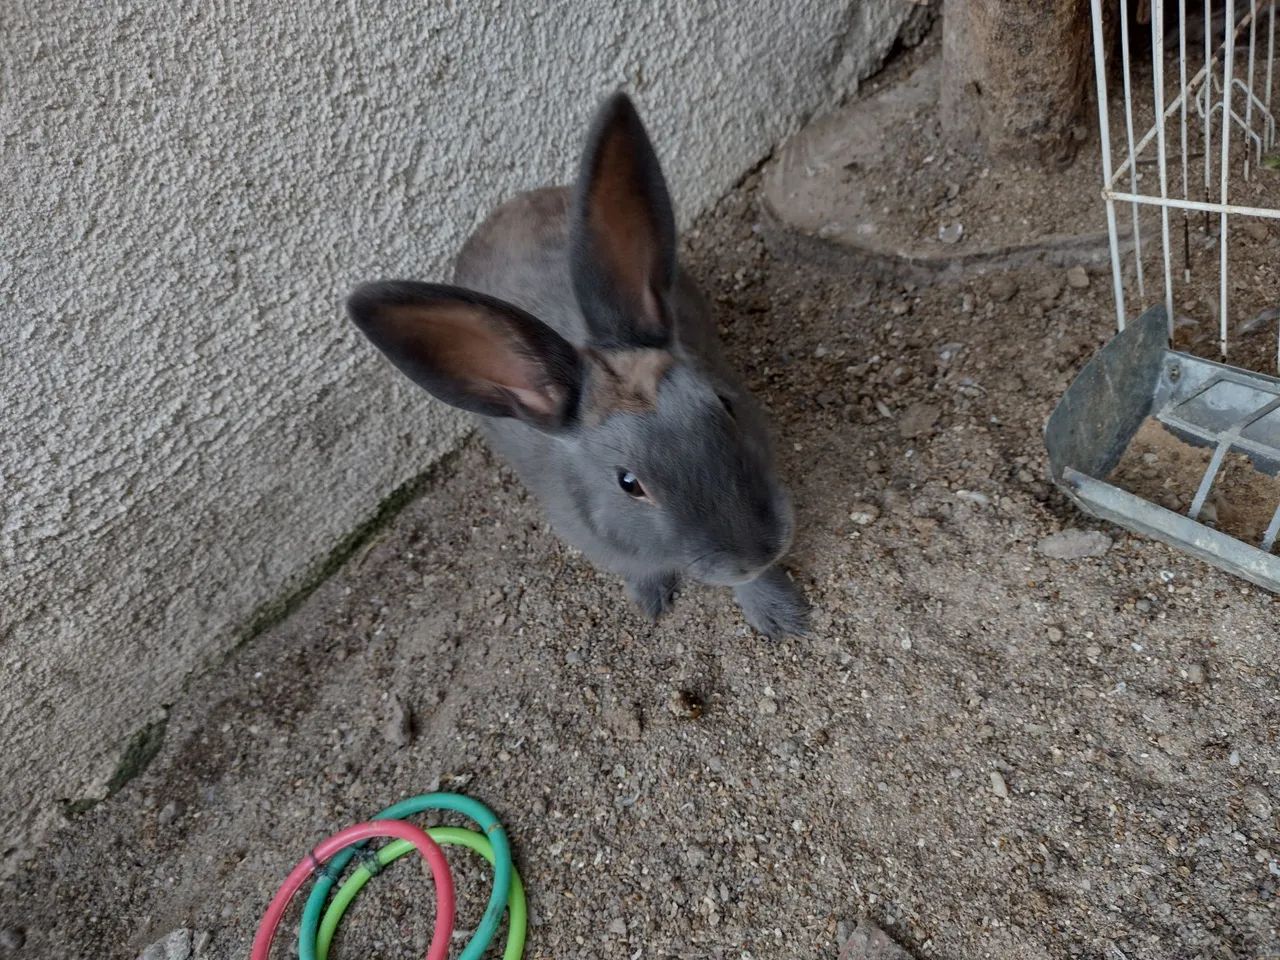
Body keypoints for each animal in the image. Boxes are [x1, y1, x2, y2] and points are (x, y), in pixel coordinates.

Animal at [347, 91, 808, 638]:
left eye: (726, 406)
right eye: (629, 484)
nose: (753, 551)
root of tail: (507, 206)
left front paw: (781, 615)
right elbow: (640, 568)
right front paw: (651, 601)